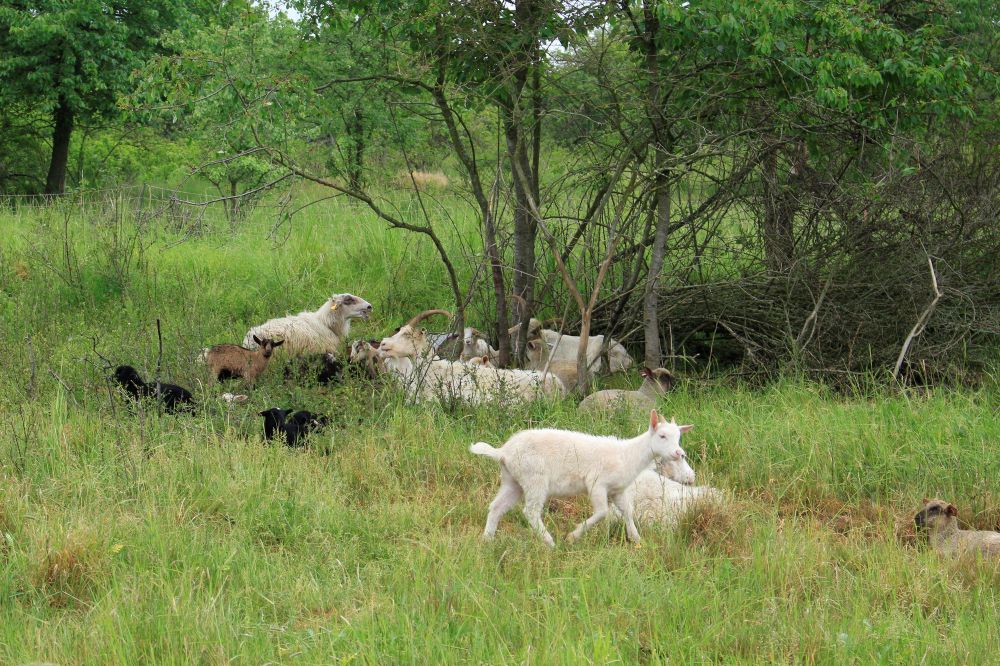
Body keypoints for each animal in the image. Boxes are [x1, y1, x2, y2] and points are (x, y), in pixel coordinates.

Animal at [466, 410, 688, 544]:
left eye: (679, 437)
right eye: (662, 436)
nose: (679, 453)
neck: (628, 455)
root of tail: (503, 452)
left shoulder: (617, 489)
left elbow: (628, 511)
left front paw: (636, 539)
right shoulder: (597, 484)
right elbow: (602, 512)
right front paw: (573, 535)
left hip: (513, 481)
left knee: (496, 507)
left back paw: (487, 540)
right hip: (534, 479)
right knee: (530, 512)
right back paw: (550, 542)